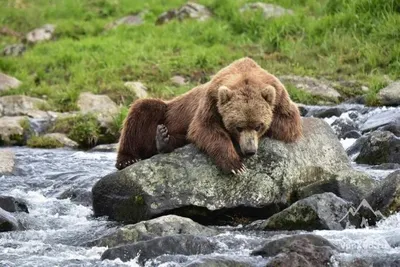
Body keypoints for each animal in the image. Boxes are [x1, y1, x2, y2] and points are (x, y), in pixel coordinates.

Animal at [117, 57, 302, 175]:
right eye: (238, 127)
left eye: (258, 126)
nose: (249, 151)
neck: (245, 75)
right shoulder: (211, 101)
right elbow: (205, 129)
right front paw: (235, 165)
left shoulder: (280, 97)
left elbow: (288, 123)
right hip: (168, 111)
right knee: (141, 111)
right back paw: (128, 158)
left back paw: (164, 139)